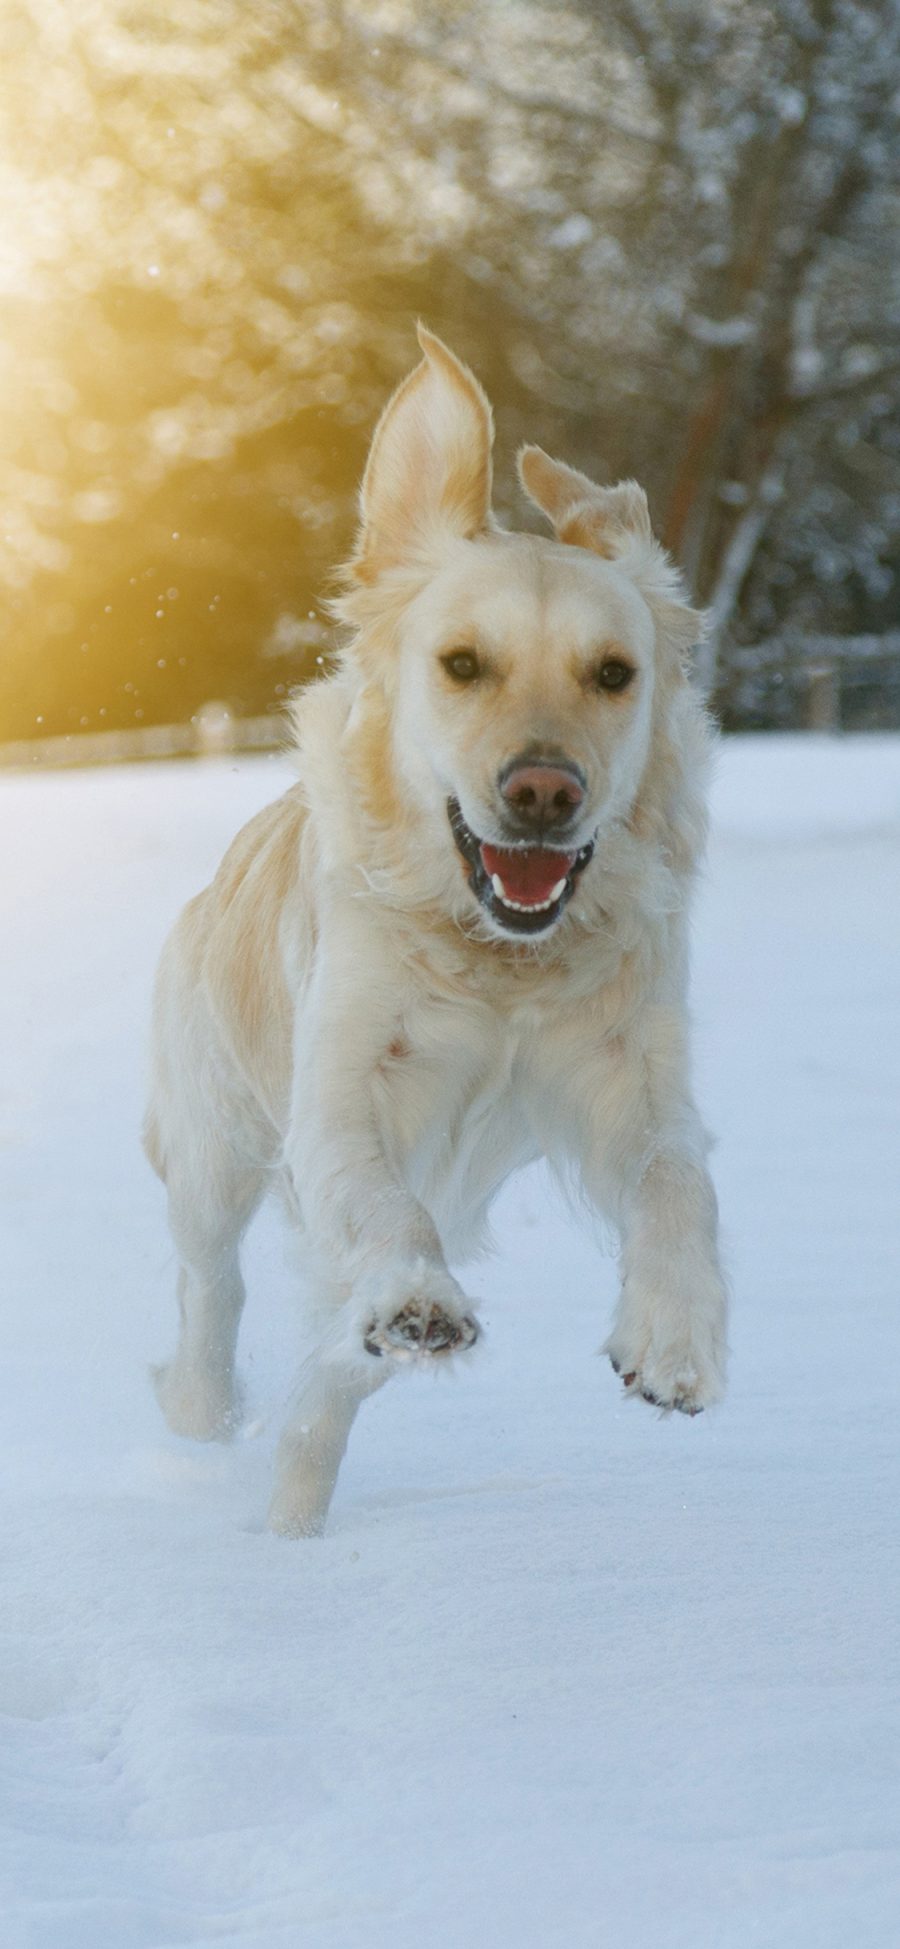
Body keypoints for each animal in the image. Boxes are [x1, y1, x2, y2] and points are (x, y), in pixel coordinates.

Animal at [144, 323, 728, 1535]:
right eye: (462, 663)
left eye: (615, 673)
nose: (544, 792)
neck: (500, 955)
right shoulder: (340, 1091)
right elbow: (382, 1207)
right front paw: (417, 1299)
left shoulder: (634, 1072)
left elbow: (676, 1182)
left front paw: (674, 1338)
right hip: (212, 1147)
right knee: (210, 1289)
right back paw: (208, 1420)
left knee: (326, 1387)